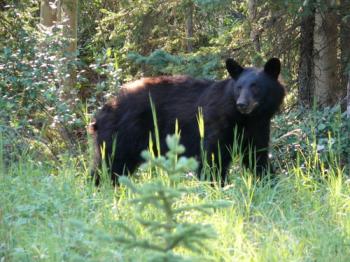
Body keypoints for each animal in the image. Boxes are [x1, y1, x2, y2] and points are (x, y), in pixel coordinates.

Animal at [89, 57, 284, 185]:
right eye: (239, 87)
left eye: (255, 87)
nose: (242, 104)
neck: (245, 119)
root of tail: (103, 110)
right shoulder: (216, 124)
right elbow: (213, 157)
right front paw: (216, 185)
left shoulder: (258, 128)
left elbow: (257, 157)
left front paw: (270, 182)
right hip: (123, 135)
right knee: (110, 164)